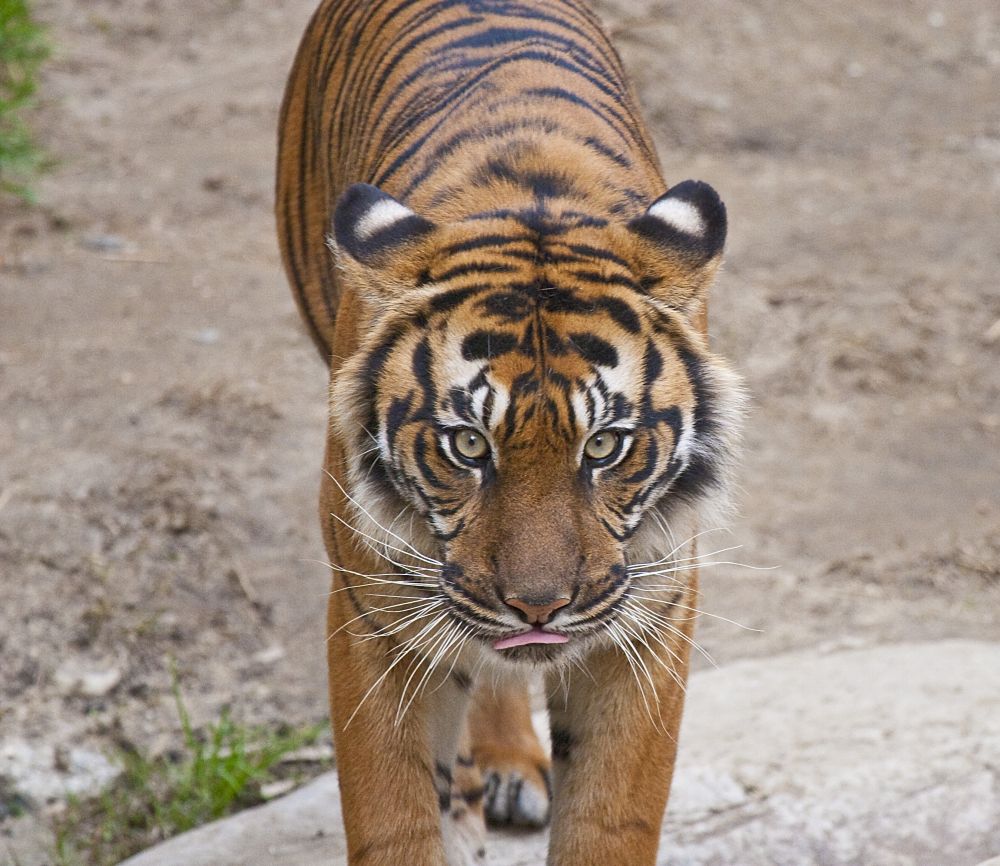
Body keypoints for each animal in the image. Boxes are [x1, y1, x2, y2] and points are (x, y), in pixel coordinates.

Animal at [275, 1, 744, 864]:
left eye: (604, 446)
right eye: (467, 445)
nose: (539, 608)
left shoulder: (649, 619)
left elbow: (610, 816)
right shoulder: (373, 615)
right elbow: (394, 814)